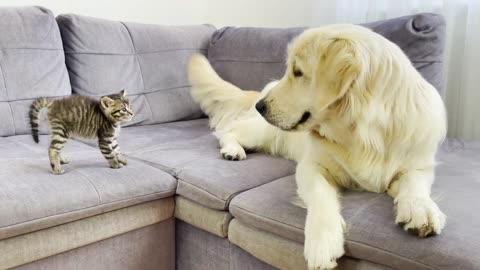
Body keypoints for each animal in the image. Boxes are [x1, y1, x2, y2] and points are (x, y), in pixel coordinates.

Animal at [188, 23, 446, 270]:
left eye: (298, 72)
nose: (260, 106)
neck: (364, 134)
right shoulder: (311, 166)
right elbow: (321, 194)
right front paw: (323, 242)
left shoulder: (419, 164)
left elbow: (414, 182)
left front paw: (419, 209)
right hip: (262, 133)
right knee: (226, 132)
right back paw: (232, 150)